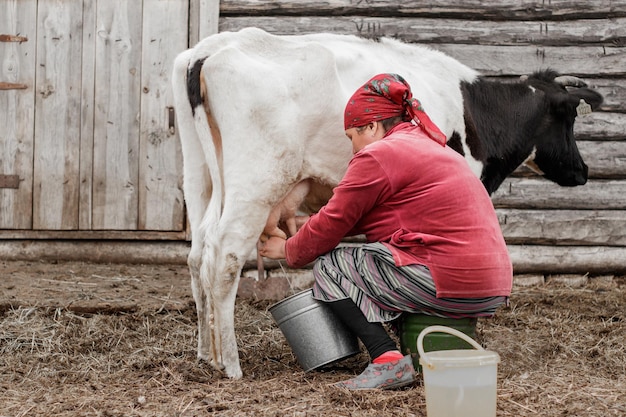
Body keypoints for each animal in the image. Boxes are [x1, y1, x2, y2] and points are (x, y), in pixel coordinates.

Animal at [169, 26, 600, 376]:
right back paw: (230, 364)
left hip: (199, 173)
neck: (476, 113)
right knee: (225, 255)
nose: (583, 171)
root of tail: (209, 50)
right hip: (257, 178)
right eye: (569, 119)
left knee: (198, 253)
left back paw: (206, 353)